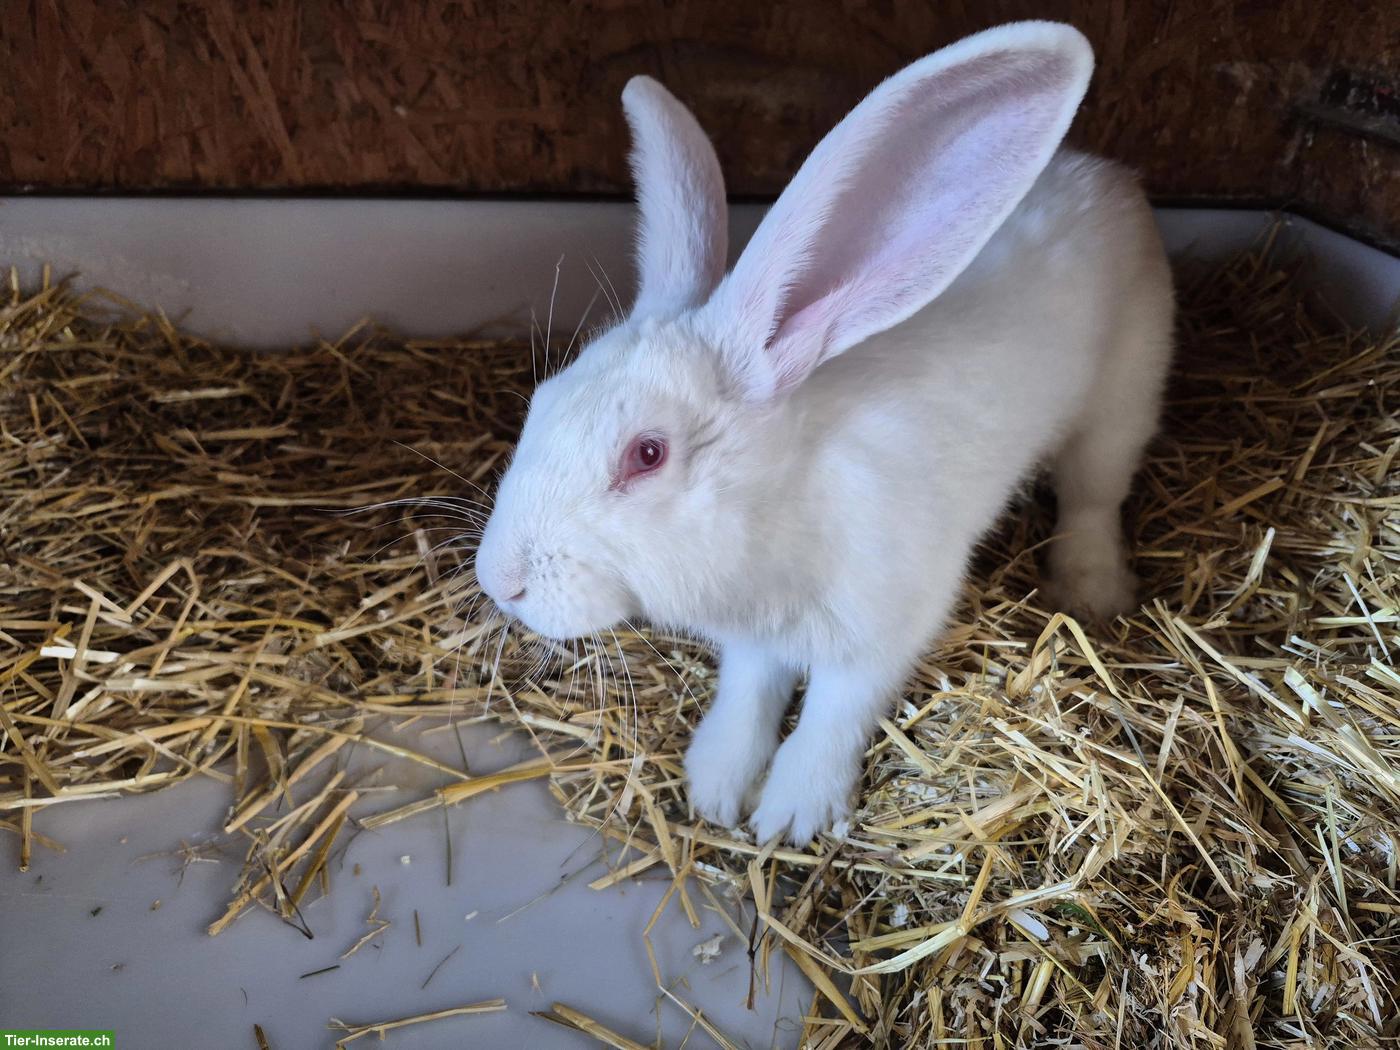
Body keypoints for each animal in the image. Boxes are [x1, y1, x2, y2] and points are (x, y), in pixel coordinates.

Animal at [474, 21, 1175, 846]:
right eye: (540, 403)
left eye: (647, 455)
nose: (501, 582)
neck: (783, 504)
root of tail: (1106, 175)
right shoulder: (754, 645)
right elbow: (749, 696)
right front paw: (716, 788)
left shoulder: (884, 627)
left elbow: (835, 712)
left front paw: (791, 813)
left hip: (1122, 398)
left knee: (1093, 498)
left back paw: (1092, 592)